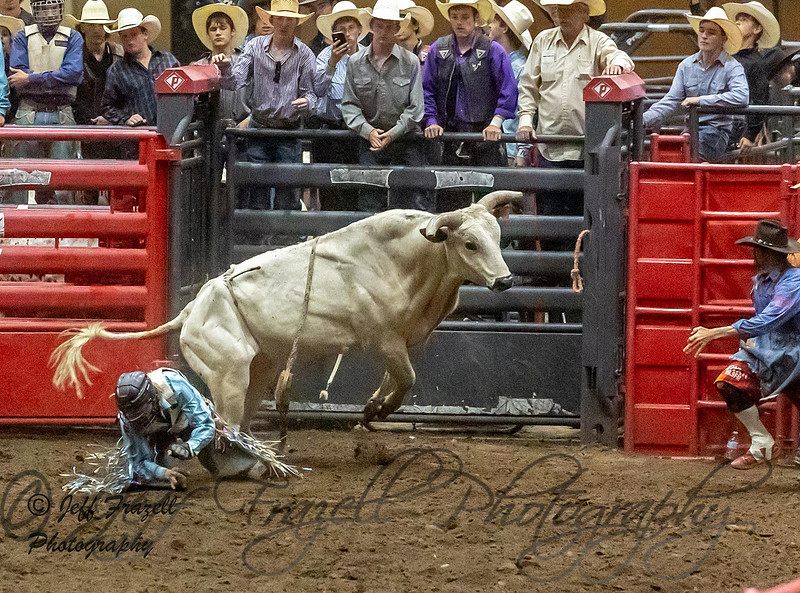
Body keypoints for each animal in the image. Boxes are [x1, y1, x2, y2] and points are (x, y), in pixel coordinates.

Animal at [51, 190, 520, 441]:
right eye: (470, 244)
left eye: (498, 236)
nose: (505, 280)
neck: (406, 260)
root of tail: (191, 309)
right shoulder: (382, 338)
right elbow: (405, 379)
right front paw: (378, 411)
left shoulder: (405, 340)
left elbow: (397, 379)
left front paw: (372, 409)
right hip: (227, 370)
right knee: (225, 421)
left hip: (259, 368)